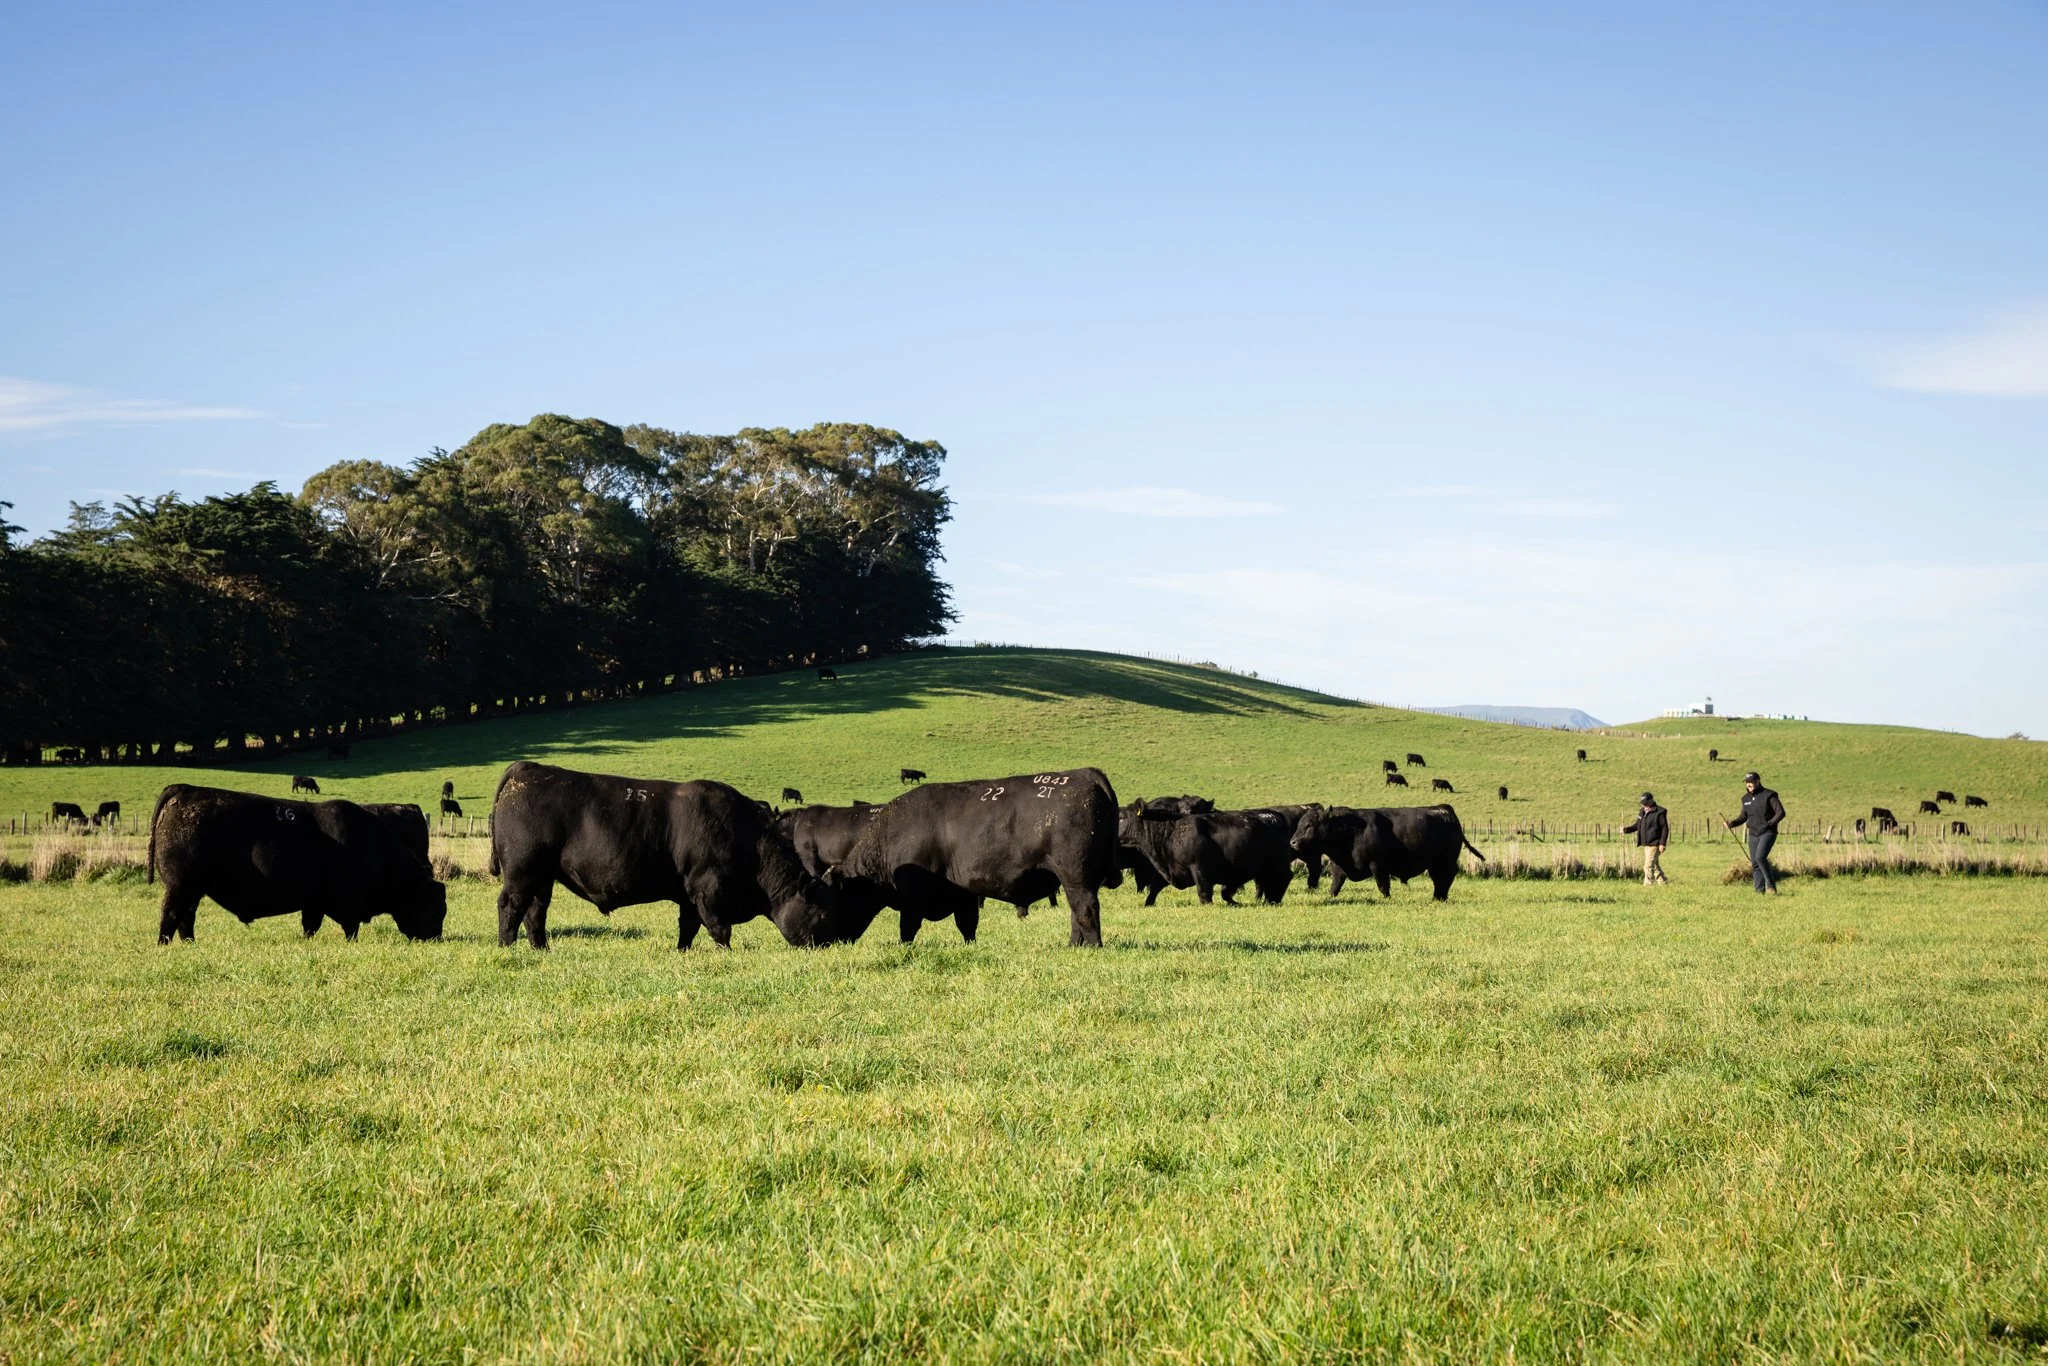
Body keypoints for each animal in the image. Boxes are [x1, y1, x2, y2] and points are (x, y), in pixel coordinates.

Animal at [146, 785, 446, 944]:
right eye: (434, 910)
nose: (435, 937)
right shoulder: (347, 903)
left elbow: (310, 926)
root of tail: (186, 791)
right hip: (181, 887)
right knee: (171, 915)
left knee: (186, 918)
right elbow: (349, 928)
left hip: (193, 890)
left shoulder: (313, 903)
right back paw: (164, 945)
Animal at [489, 760, 845, 950]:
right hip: (522, 870)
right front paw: (726, 953)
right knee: (511, 906)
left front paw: (682, 952)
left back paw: (541, 949)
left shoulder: (689, 894)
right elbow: (719, 927)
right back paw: (508, 947)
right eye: (822, 913)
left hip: (542, 876)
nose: (833, 943)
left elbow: (688, 926)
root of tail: (528, 769)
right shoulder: (708, 888)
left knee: (536, 911)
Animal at [833, 768, 1122, 946]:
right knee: (1077, 912)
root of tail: (1084, 773)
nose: (823, 942)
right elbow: (967, 925)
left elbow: (908, 928)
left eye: (826, 899)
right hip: (1077, 880)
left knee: (1085, 908)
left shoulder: (913, 899)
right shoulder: (964, 893)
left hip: (1075, 876)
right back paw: (1073, 945)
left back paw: (1092, 946)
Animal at [1290, 804, 1485, 902]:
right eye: (1300, 824)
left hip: (1445, 861)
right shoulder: (1338, 867)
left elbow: (1383, 885)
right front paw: (1331, 898)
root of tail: (1444, 809)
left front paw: (1387, 899)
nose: (1292, 841)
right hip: (1435, 864)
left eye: (1309, 825)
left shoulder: (1378, 865)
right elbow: (1334, 887)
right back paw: (1438, 898)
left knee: (1445, 878)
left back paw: (1440, 898)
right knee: (1439, 879)